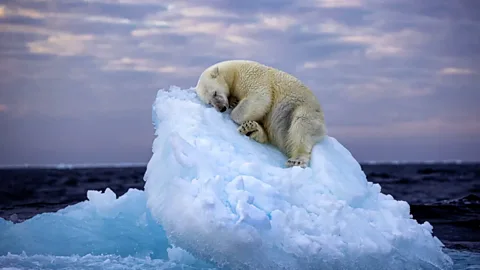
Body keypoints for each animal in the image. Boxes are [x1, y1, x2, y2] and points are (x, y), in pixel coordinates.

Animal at [195, 60, 326, 168]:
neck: (233, 71)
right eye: (209, 102)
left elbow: (260, 97)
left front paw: (234, 111)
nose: (221, 108)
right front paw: (233, 102)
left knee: (301, 127)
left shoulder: (251, 76)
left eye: (215, 93)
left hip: (304, 109)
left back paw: (296, 160)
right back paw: (251, 128)